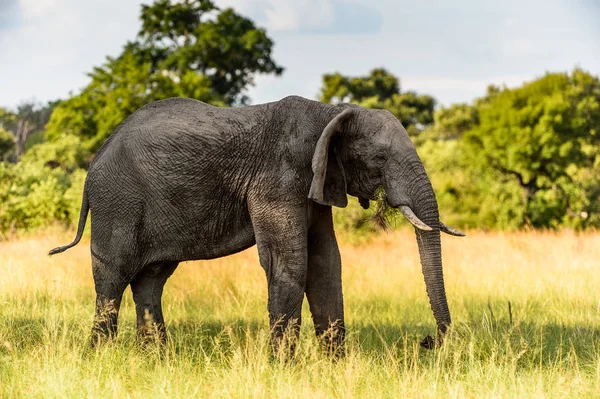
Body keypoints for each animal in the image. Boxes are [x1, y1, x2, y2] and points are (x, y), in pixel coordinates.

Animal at [49, 96, 466, 354]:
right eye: (380, 158)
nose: (428, 342)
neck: (330, 112)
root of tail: (95, 161)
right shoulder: (277, 179)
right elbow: (291, 263)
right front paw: (285, 368)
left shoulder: (314, 182)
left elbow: (326, 264)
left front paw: (334, 367)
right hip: (116, 201)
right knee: (112, 279)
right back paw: (101, 357)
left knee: (150, 280)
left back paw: (156, 359)